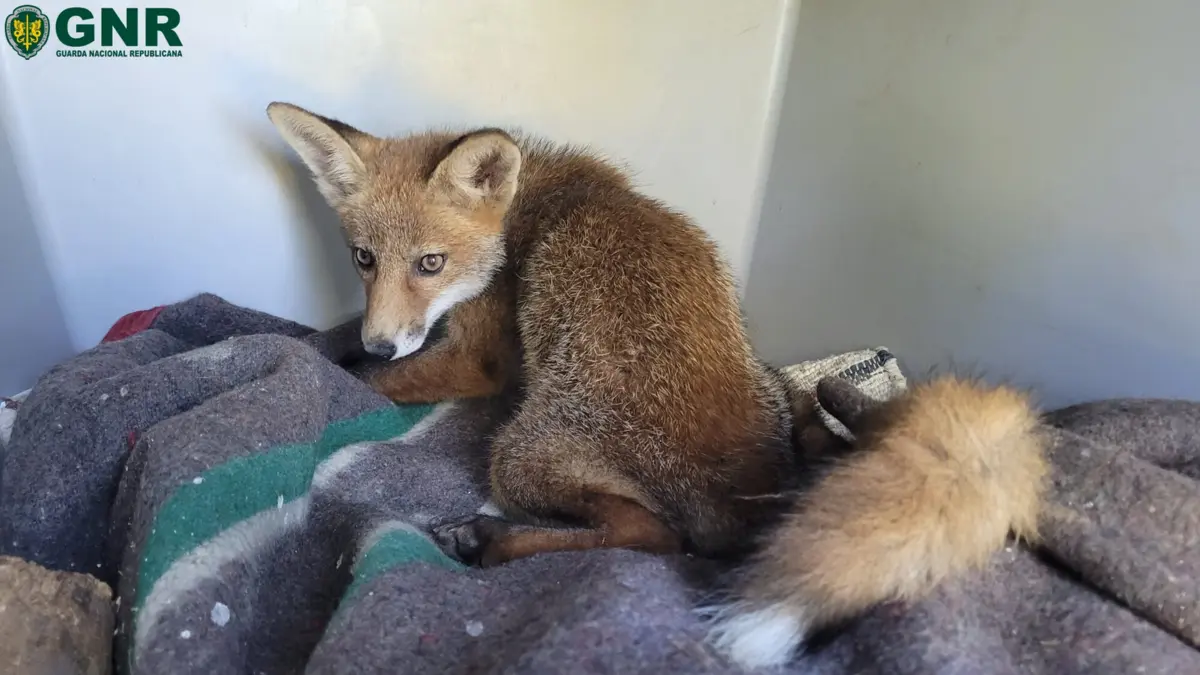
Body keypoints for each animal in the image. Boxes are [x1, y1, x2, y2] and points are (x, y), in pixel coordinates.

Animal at [265, 102, 1048, 669]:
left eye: (430, 263)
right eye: (364, 259)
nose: (383, 338)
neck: (529, 212)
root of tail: (759, 495)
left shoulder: (476, 361)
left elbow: (353, 371)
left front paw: (334, 361)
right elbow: (338, 350)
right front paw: (333, 345)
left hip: (518, 453)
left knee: (653, 535)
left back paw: (487, 538)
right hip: (770, 388)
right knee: (795, 424)